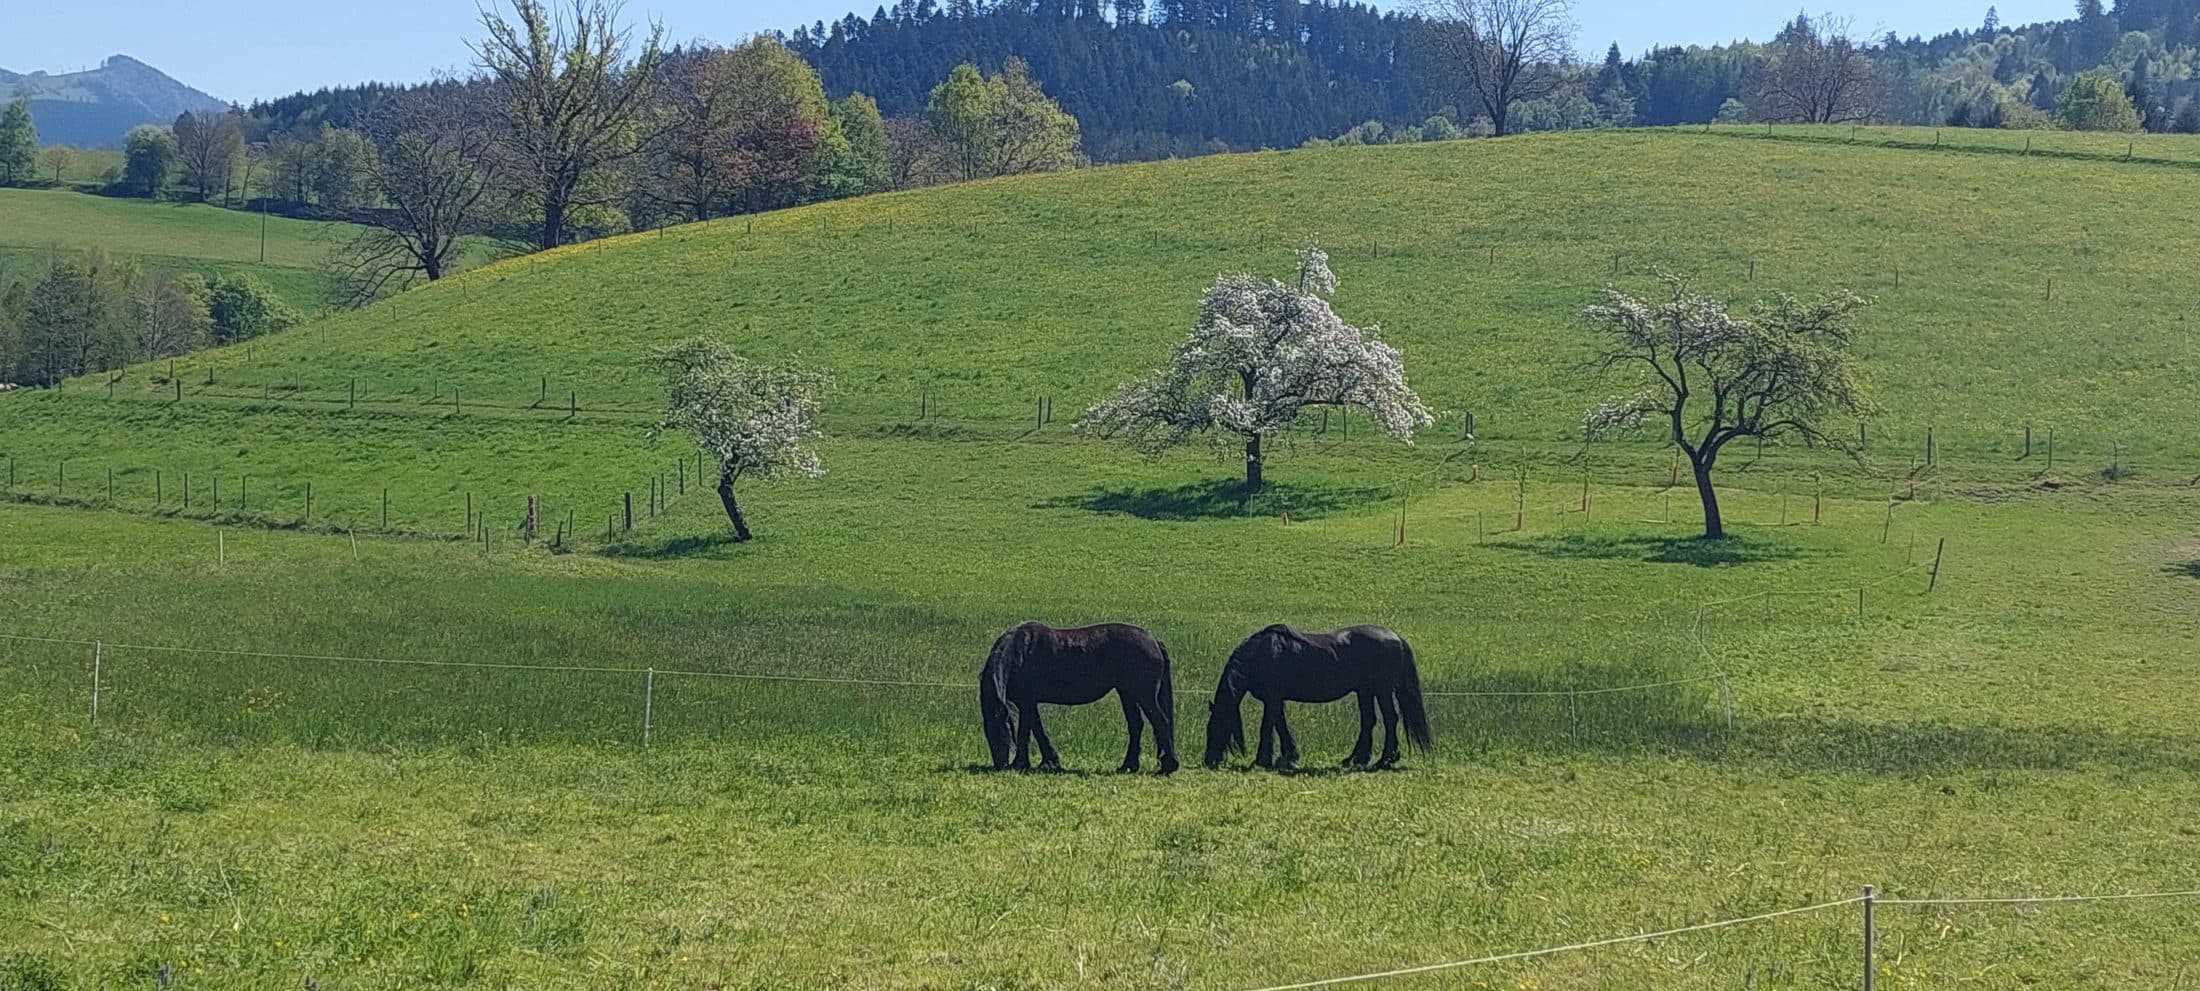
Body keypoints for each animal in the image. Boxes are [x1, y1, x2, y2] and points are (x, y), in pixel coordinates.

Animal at [980, 622, 1179, 774]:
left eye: (1001, 730)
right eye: (987, 731)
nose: (1000, 765)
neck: (1018, 654)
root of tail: (1153, 640)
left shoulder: (1027, 702)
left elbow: (1024, 733)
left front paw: (1020, 764)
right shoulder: (1028, 703)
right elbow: (1037, 729)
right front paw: (1050, 761)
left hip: (1144, 695)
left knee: (1161, 722)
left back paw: (1167, 768)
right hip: (1127, 693)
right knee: (1136, 725)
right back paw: (1128, 767)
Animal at [1203, 625, 1431, 771]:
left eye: (1216, 727)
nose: (1209, 760)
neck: (1263, 653)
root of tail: (1395, 637)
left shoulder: (1272, 699)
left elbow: (1267, 728)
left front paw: (1261, 760)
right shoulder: (1275, 700)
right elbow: (1280, 726)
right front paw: (1288, 757)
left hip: (1381, 690)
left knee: (1390, 720)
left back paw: (1385, 760)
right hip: (1365, 691)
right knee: (1369, 721)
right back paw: (1355, 759)